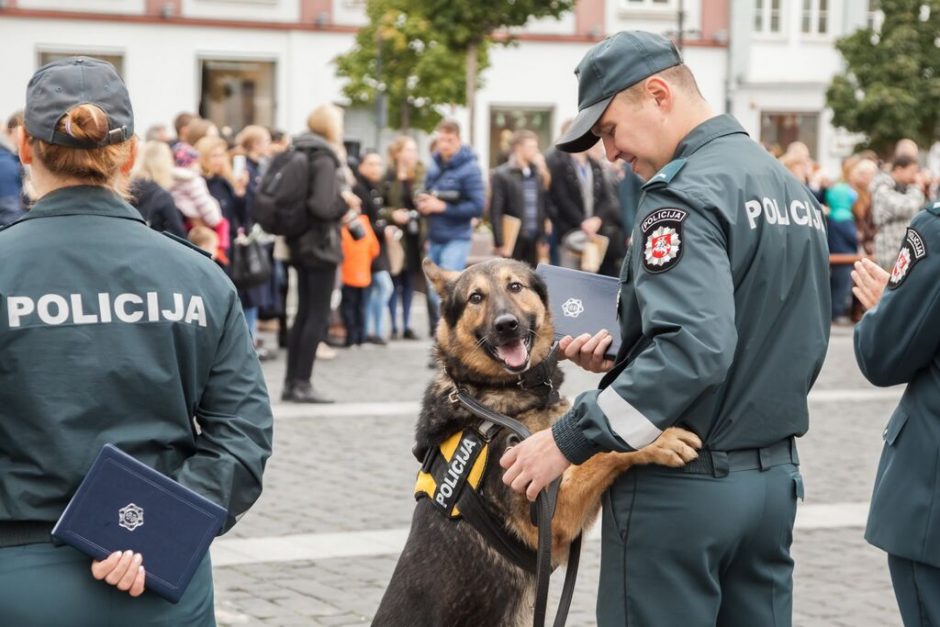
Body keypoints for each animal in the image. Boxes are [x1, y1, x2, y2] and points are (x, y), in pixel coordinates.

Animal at [372, 258, 696, 624]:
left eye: (515, 286)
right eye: (475, 297)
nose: (506, 326)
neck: (494, 394)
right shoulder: (552, 523)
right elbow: (601, 454)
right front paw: (661, 440)